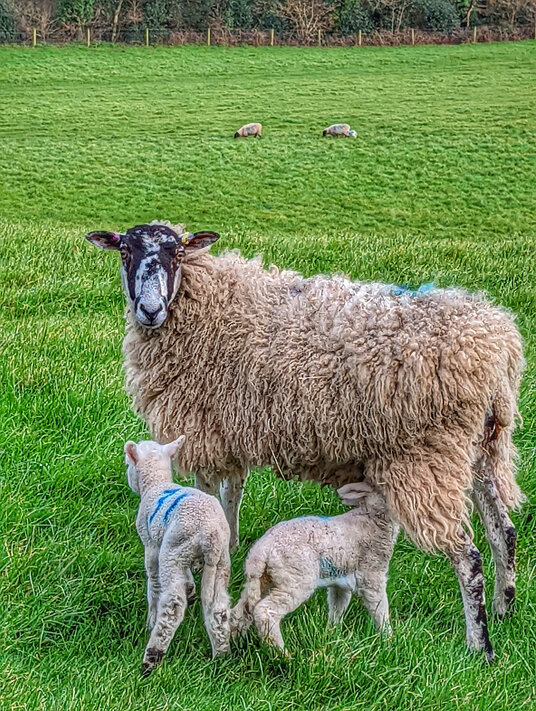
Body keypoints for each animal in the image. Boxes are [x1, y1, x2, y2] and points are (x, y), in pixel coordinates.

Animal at [124, 435, 231, 676]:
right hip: (220, 560)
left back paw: (152, 658)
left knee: (173, 605)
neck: (156, 483)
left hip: (173, 551)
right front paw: (190, 588)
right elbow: (189, 579)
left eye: (128, 464)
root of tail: (210, 534)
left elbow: (153, 582)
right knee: (218, 608)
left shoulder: (153, 544)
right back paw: (221, 657)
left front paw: (150, 620)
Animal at [230, 482, 399, 653]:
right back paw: (282, 653)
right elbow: (380, 608)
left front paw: (332, 634)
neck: (372, 518)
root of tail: (260, 553)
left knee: (241, 612)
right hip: (295, 578)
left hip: (263, 580)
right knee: (265, 611)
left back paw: (233, 645)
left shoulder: (341, 580)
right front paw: (388, 641)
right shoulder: (372, 573)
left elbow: (338, 606)